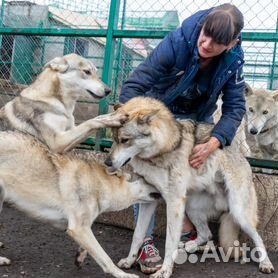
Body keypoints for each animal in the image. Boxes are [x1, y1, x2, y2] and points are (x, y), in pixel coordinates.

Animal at [0, 131, 159, 278]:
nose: (164, 186)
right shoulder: (78, 228)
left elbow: (89, 248)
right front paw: (123, 274)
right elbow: (106, 258)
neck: (100, 184)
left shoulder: (82, 227)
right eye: (147, 179)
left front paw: (80, 257)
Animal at [105, 96, 274, 276]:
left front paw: (164, 272)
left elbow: (169, 241)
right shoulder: (149, 201)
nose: (106, 162)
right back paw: (189, 245)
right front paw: (129, 261)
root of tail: (241, 154)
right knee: (207, 234)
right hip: (191, 208)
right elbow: (138, 235)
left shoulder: (174, 202)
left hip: (239, 212)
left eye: (125, 140)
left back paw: (266, 264)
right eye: (114, 139)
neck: (164, 147)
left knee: (257, 237)